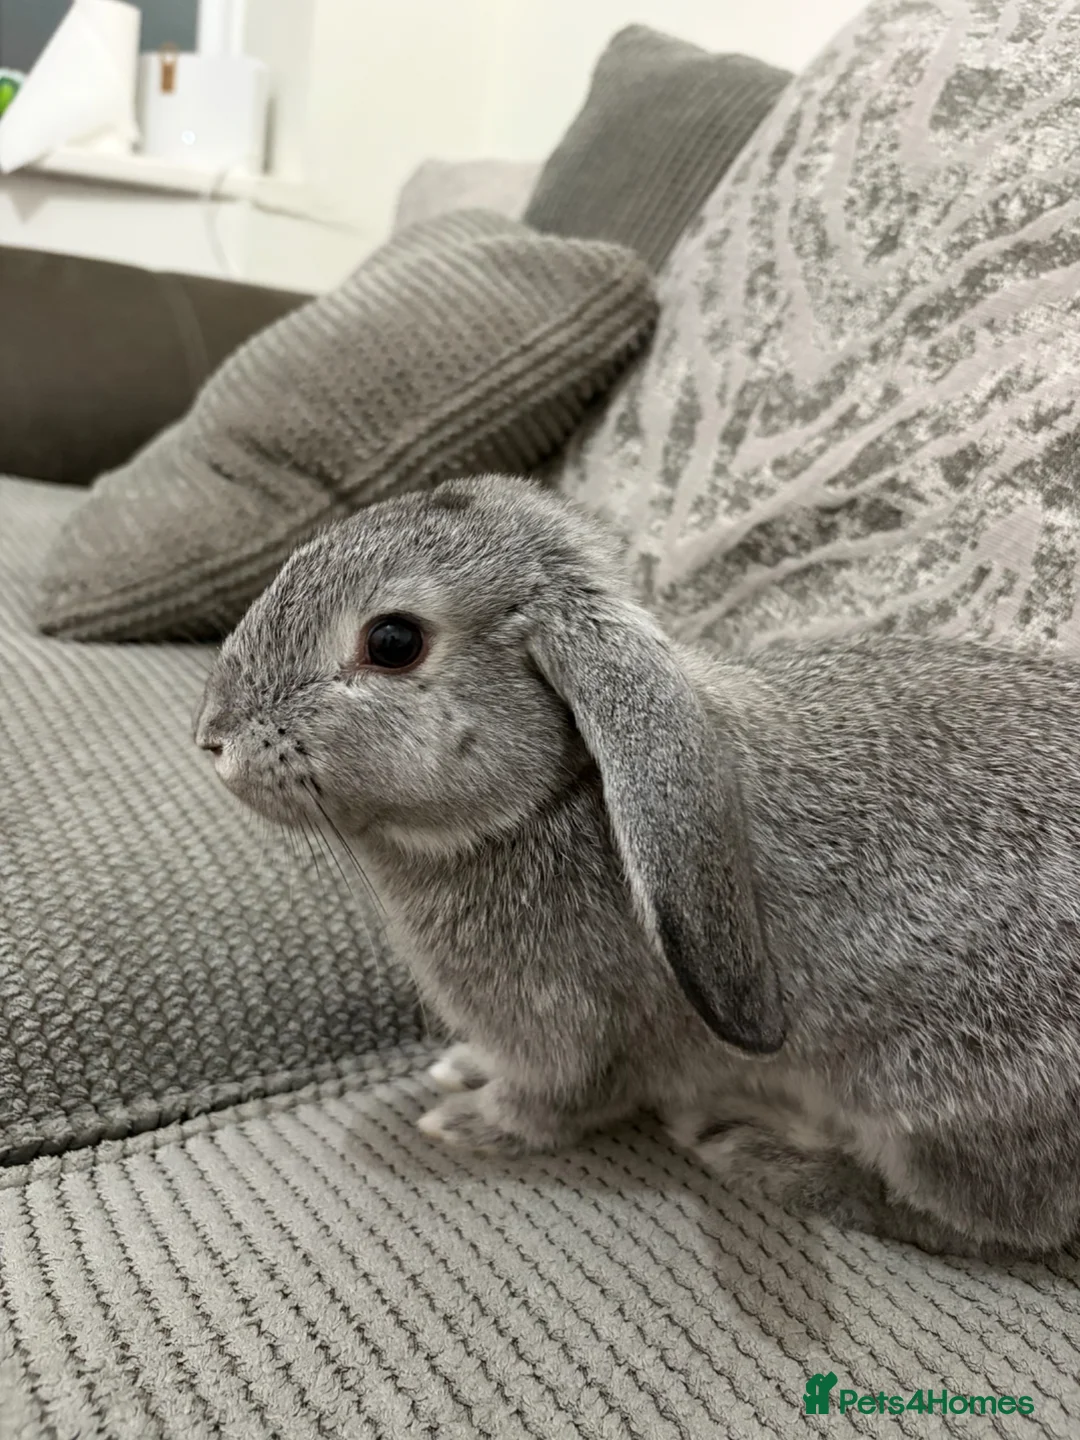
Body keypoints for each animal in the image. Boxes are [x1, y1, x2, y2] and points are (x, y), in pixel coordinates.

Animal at [195, 473, 1080, 1261]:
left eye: (392, 642)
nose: (213, 737)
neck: (548, 798)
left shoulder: (570, 1036)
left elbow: (546, 1106)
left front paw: (464, 1122)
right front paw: (456, 1069)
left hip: (936, 1108)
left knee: (967, 1223)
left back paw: (757, 1151)